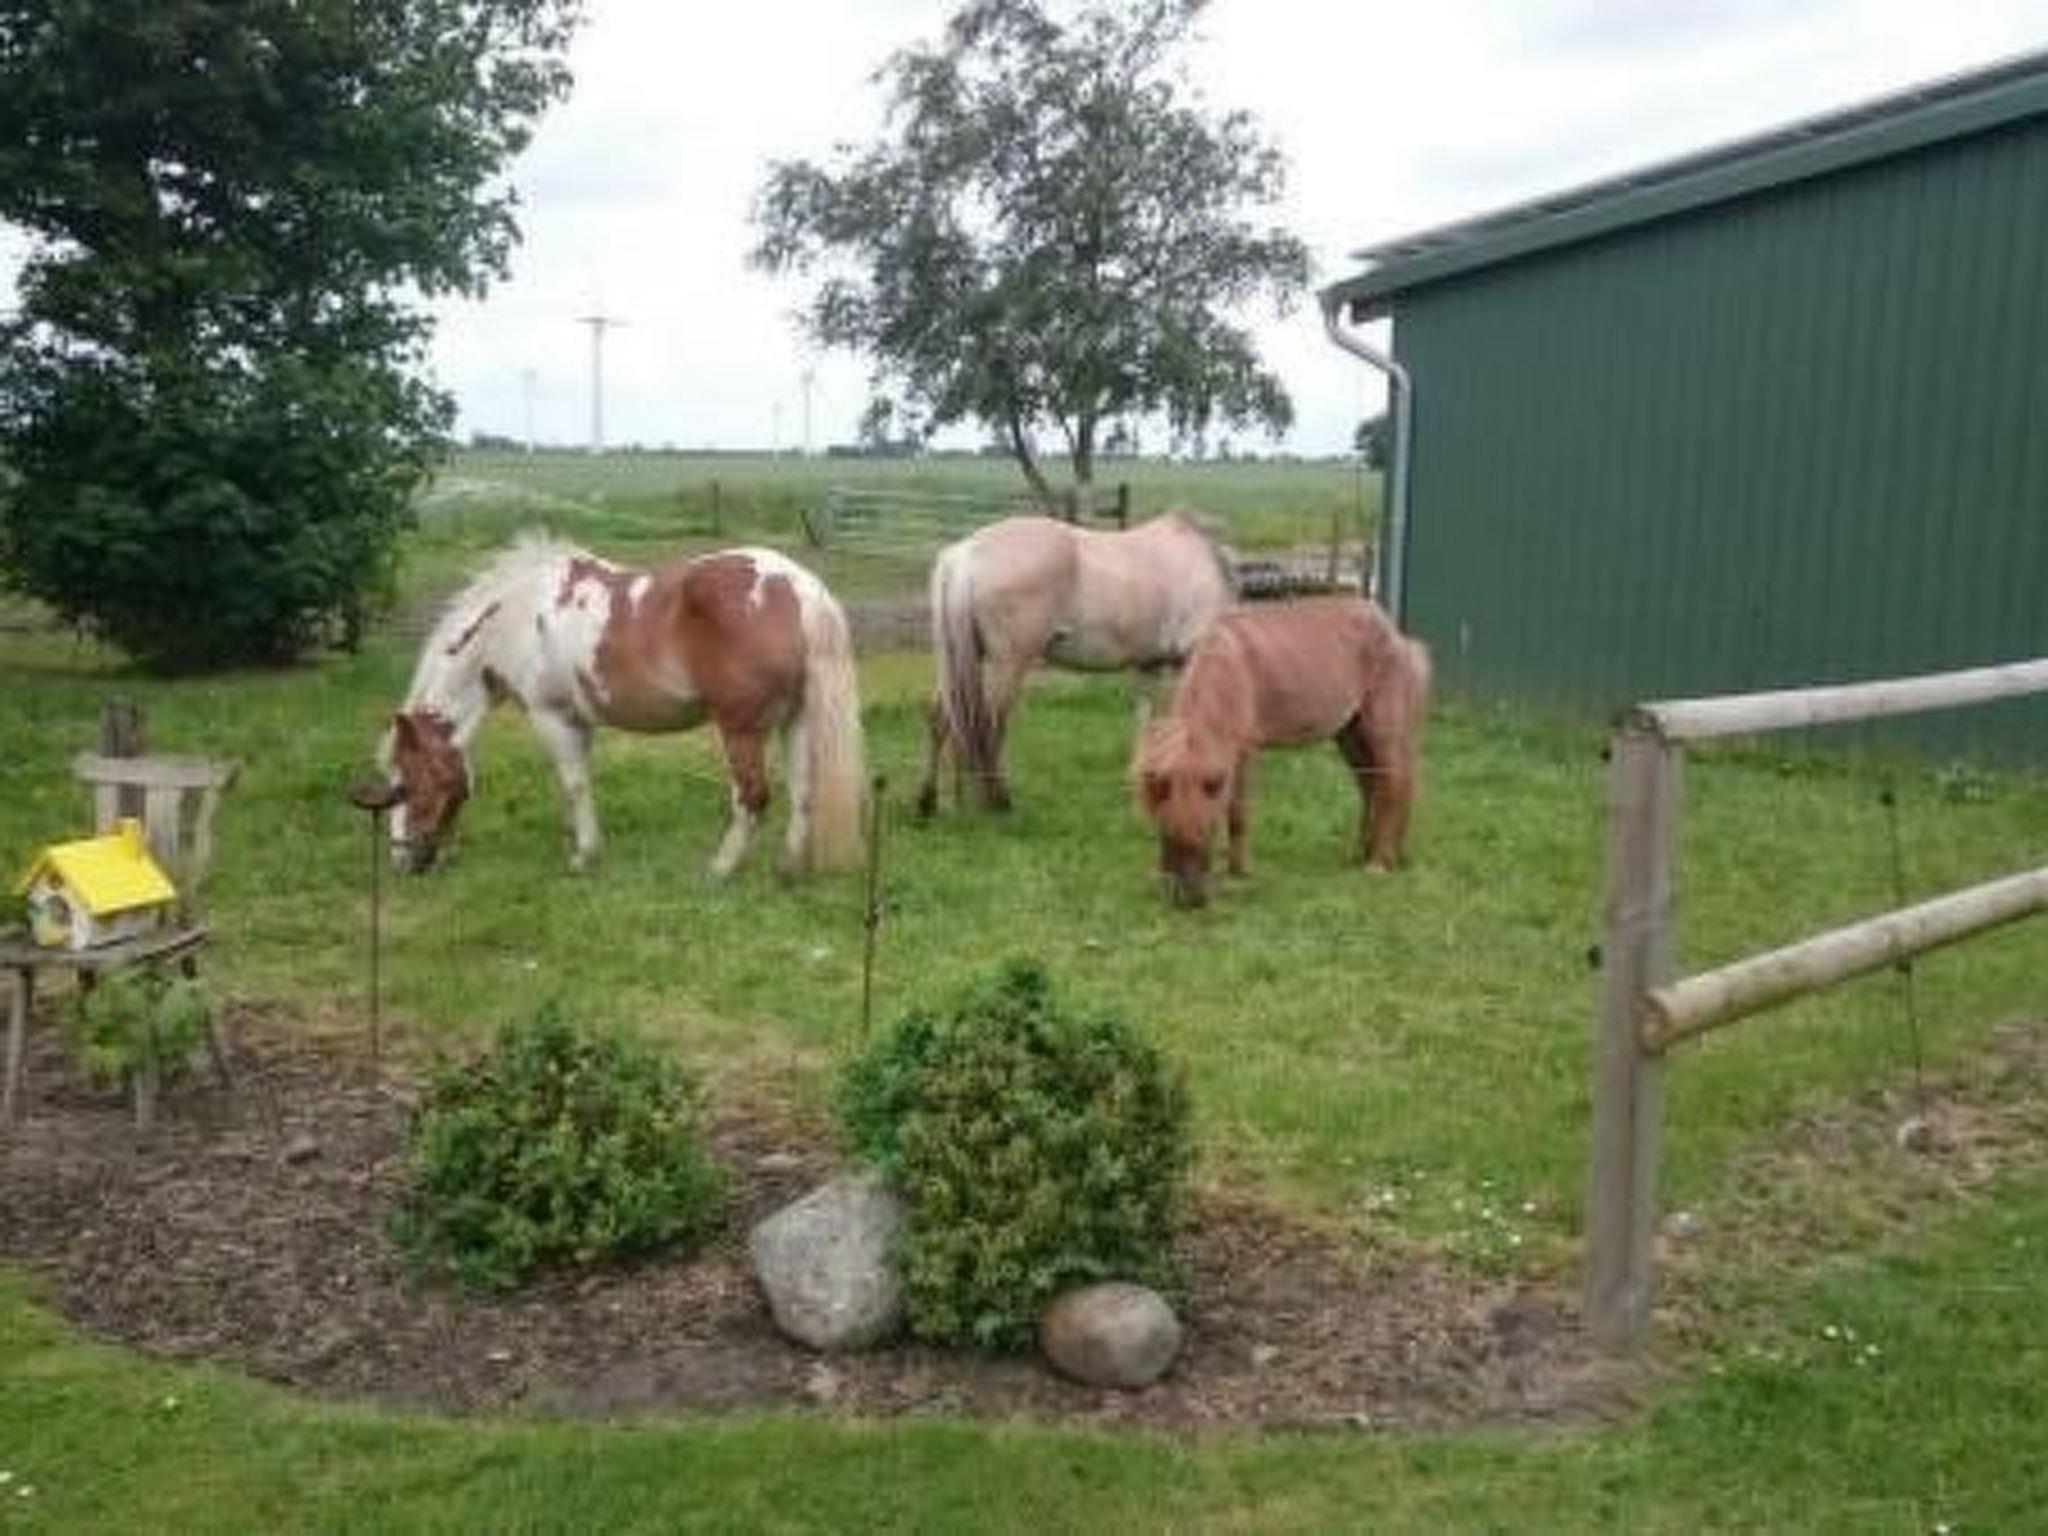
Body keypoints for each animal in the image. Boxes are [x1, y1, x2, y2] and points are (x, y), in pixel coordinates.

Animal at [381, 533, 866, 879]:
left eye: (407, 782)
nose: (402, 861)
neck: (515, 616)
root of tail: (802, 590)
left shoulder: (552, 716)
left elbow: (574, 785)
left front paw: (583, 856)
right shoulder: (581, 721)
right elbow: (580, 785)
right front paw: (582, 842)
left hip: (741, 729)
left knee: (752, 797)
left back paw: (720, 868)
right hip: (795, 720)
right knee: (802, 792)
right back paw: (787, 868)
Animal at [915, 510, 1236, 815]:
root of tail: (966, 552)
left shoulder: (1150, 665)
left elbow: (1148, 724)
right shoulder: (1189, 657)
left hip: (961, 660)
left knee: (942, 718)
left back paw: (930, 802)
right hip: (1008, 664)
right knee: (990, 725)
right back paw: (999, 801)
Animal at [1132, 595, 1430, 908]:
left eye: (1207, 830)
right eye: (1163, 832)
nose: (1188, 900)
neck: (1231, 667)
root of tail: (1396, 635)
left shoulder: (1244, 752)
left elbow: (1237, 814)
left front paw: (1239, 873)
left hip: (1383, 731)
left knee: (1393, 788)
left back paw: (1379, 863)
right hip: (1349, 734)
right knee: (1372, 788)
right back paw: (1362, 853)